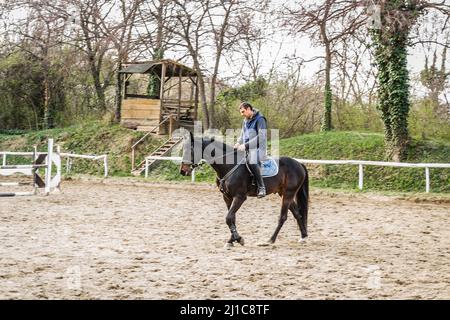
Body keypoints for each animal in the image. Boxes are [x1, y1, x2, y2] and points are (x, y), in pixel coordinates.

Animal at [179, 133, 310, 248]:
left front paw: (238, 239)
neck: (229, 164)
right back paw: (303, 236)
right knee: (297, 213)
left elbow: (228, 218)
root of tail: (299, 164)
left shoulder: (240, 197)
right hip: (283, 193)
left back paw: (270, 240)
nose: (182, 171)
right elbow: (232, 218)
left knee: (283, 217)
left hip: (288, 194)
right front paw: (231, 240)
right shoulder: (227, 197)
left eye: (190, 150)